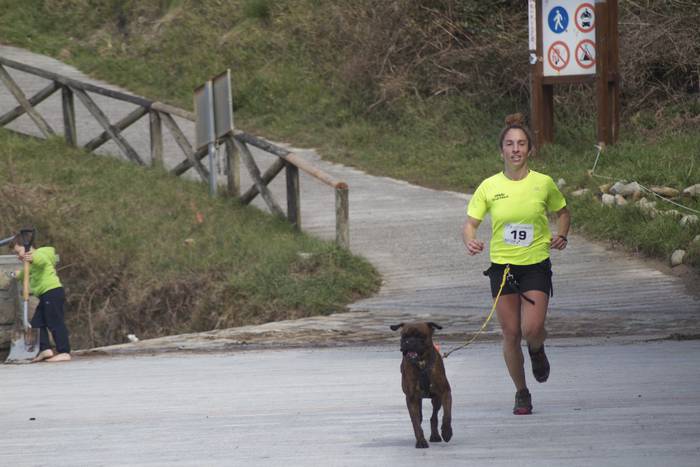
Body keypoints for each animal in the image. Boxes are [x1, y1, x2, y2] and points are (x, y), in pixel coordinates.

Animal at [388, 322, 454, 450]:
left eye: (420, 336)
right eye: (404, 336)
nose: (409, 342)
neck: (421, 363)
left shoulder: (445, 392)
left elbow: (447, 415)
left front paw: (447, 432)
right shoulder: (412, 398)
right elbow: (416, 423)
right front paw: (421, 441)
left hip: (436, 399)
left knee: (434, 417)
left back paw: (435, 435)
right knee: (421, 417)